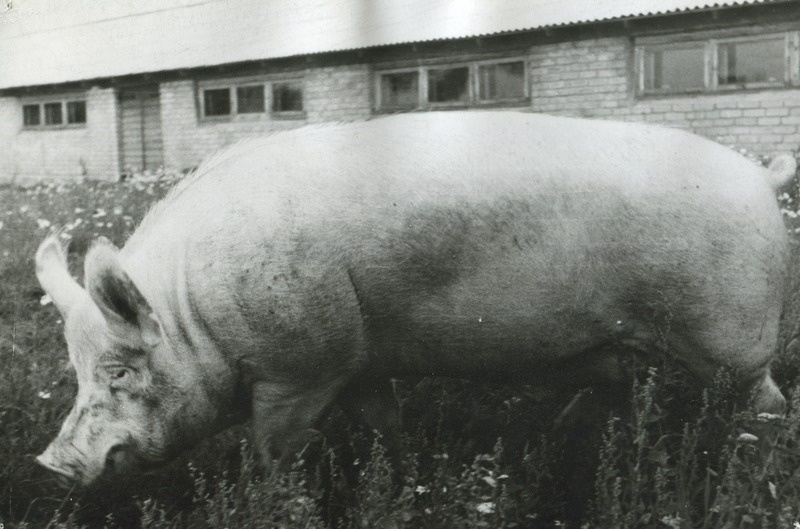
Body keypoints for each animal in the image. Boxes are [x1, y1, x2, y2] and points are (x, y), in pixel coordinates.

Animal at [36, 112, 792, 486]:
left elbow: (272, 449)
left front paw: (271, 496)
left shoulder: (299, 368)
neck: (194, 317)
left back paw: (754, 459)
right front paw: (398, 474)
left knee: (767, 403)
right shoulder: (360, 360)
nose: (51, 466)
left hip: (734, 339)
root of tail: (762, 176)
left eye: (120, 371)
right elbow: (383, 424)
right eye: (74, 369)